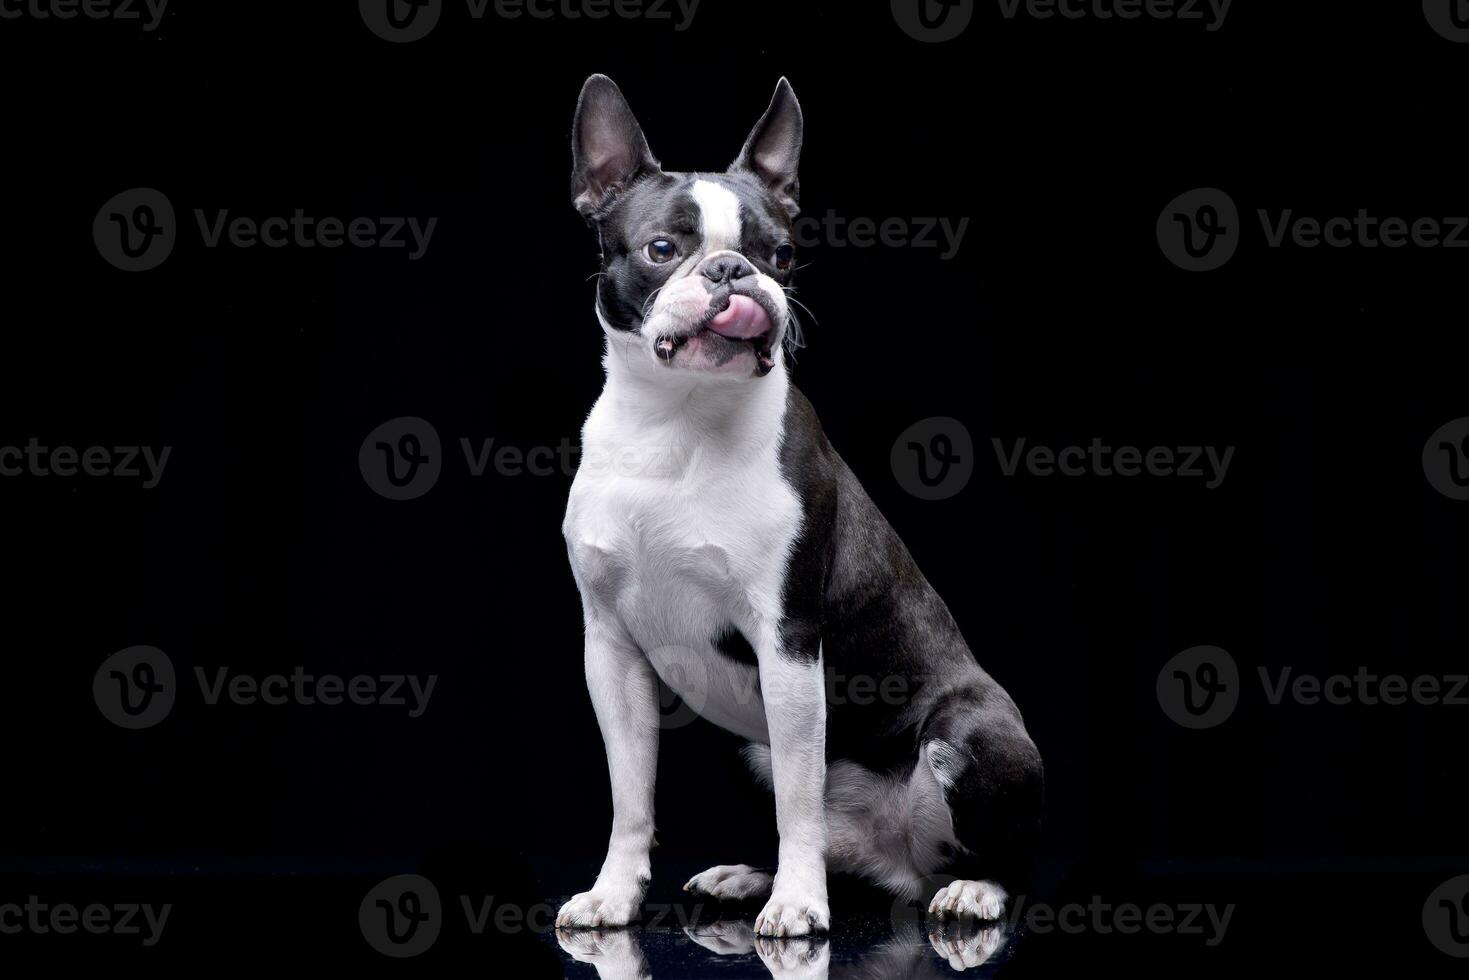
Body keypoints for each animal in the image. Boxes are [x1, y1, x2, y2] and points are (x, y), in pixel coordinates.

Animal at [552, 74, 1045, 934]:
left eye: (779, 255)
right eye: (661, 250)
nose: (731, 270)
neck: (675, 420)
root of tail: (899, 865)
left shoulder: (786, 641)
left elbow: (799, 797)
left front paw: (797, 903)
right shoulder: (610, 649)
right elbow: (631, 796)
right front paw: (614, 894)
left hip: (974, 730)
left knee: (995, 852)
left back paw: (971, 890)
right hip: (741, 740)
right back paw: (751, 875)